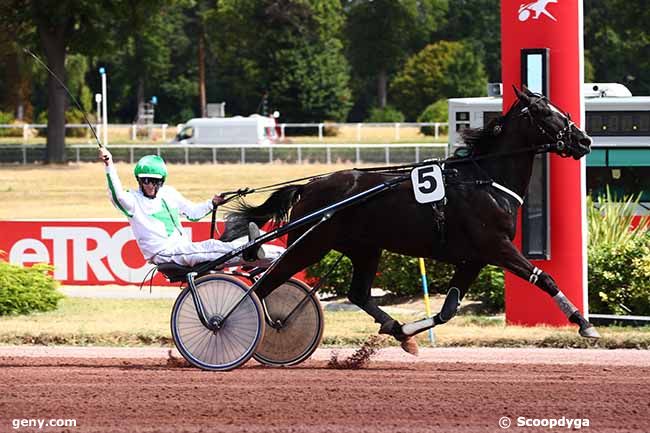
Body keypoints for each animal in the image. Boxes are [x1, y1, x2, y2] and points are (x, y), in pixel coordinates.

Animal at [223, 86, 596, 352]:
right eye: (543, 111)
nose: (583, 139)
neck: (486, 180)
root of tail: (309, 185)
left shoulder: (474, 258)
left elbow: (448, 310)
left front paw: (407, 333)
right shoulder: (497, 246)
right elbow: (544, 278)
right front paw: (584, 323)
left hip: (364, 248)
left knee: (358, 294)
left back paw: (396, 328)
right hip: (310, 244)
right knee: (265, 285)